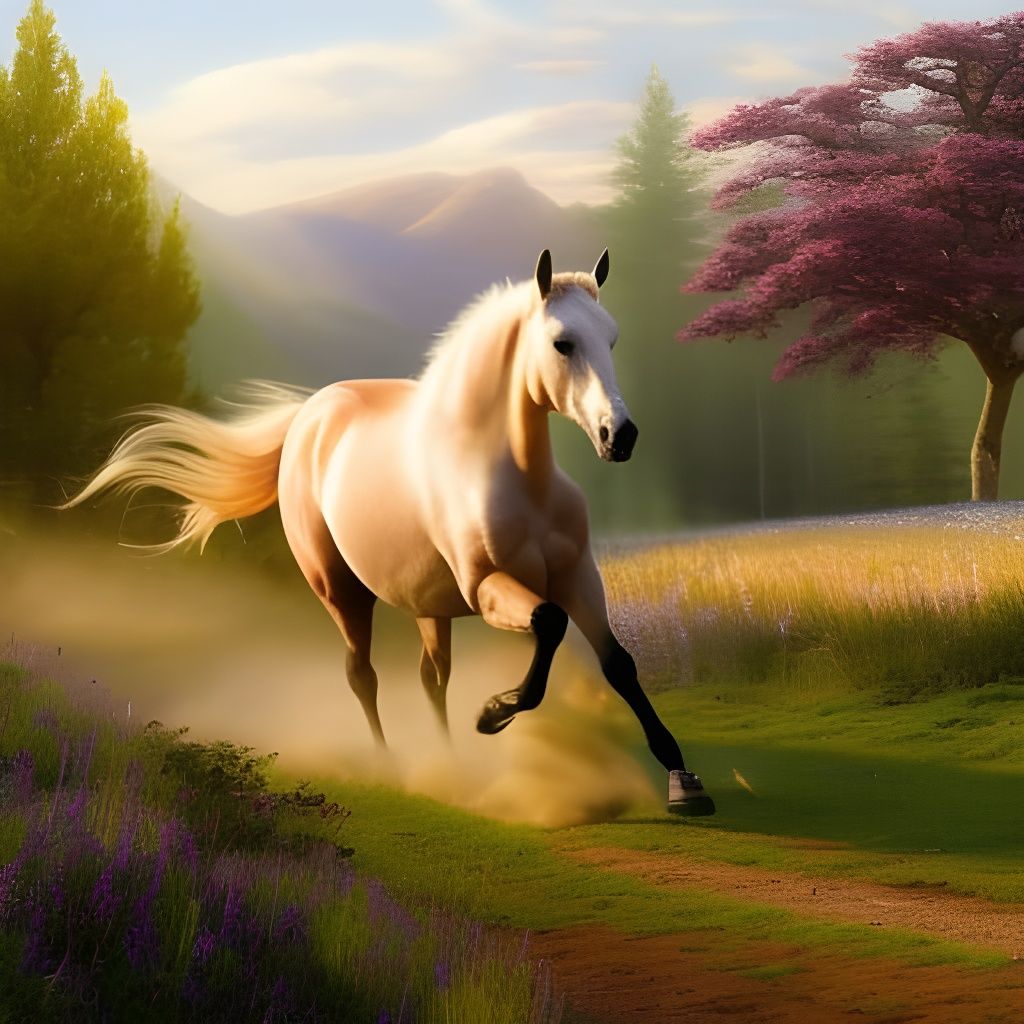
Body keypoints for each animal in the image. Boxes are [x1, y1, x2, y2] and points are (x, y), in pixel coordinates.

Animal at [64, 249, 715, 816]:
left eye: (611, 338)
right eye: (563, 343)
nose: (619, 436)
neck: (513, 478)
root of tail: (307, 417)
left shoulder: (577, 575)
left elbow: (618, 664)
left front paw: (684, 782)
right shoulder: (487, 586)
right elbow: (550, 626)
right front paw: (494, 713)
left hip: (428, 605)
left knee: (432, 679)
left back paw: (450, 765)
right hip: (341, 591)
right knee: (364, 675)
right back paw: (392, 767)